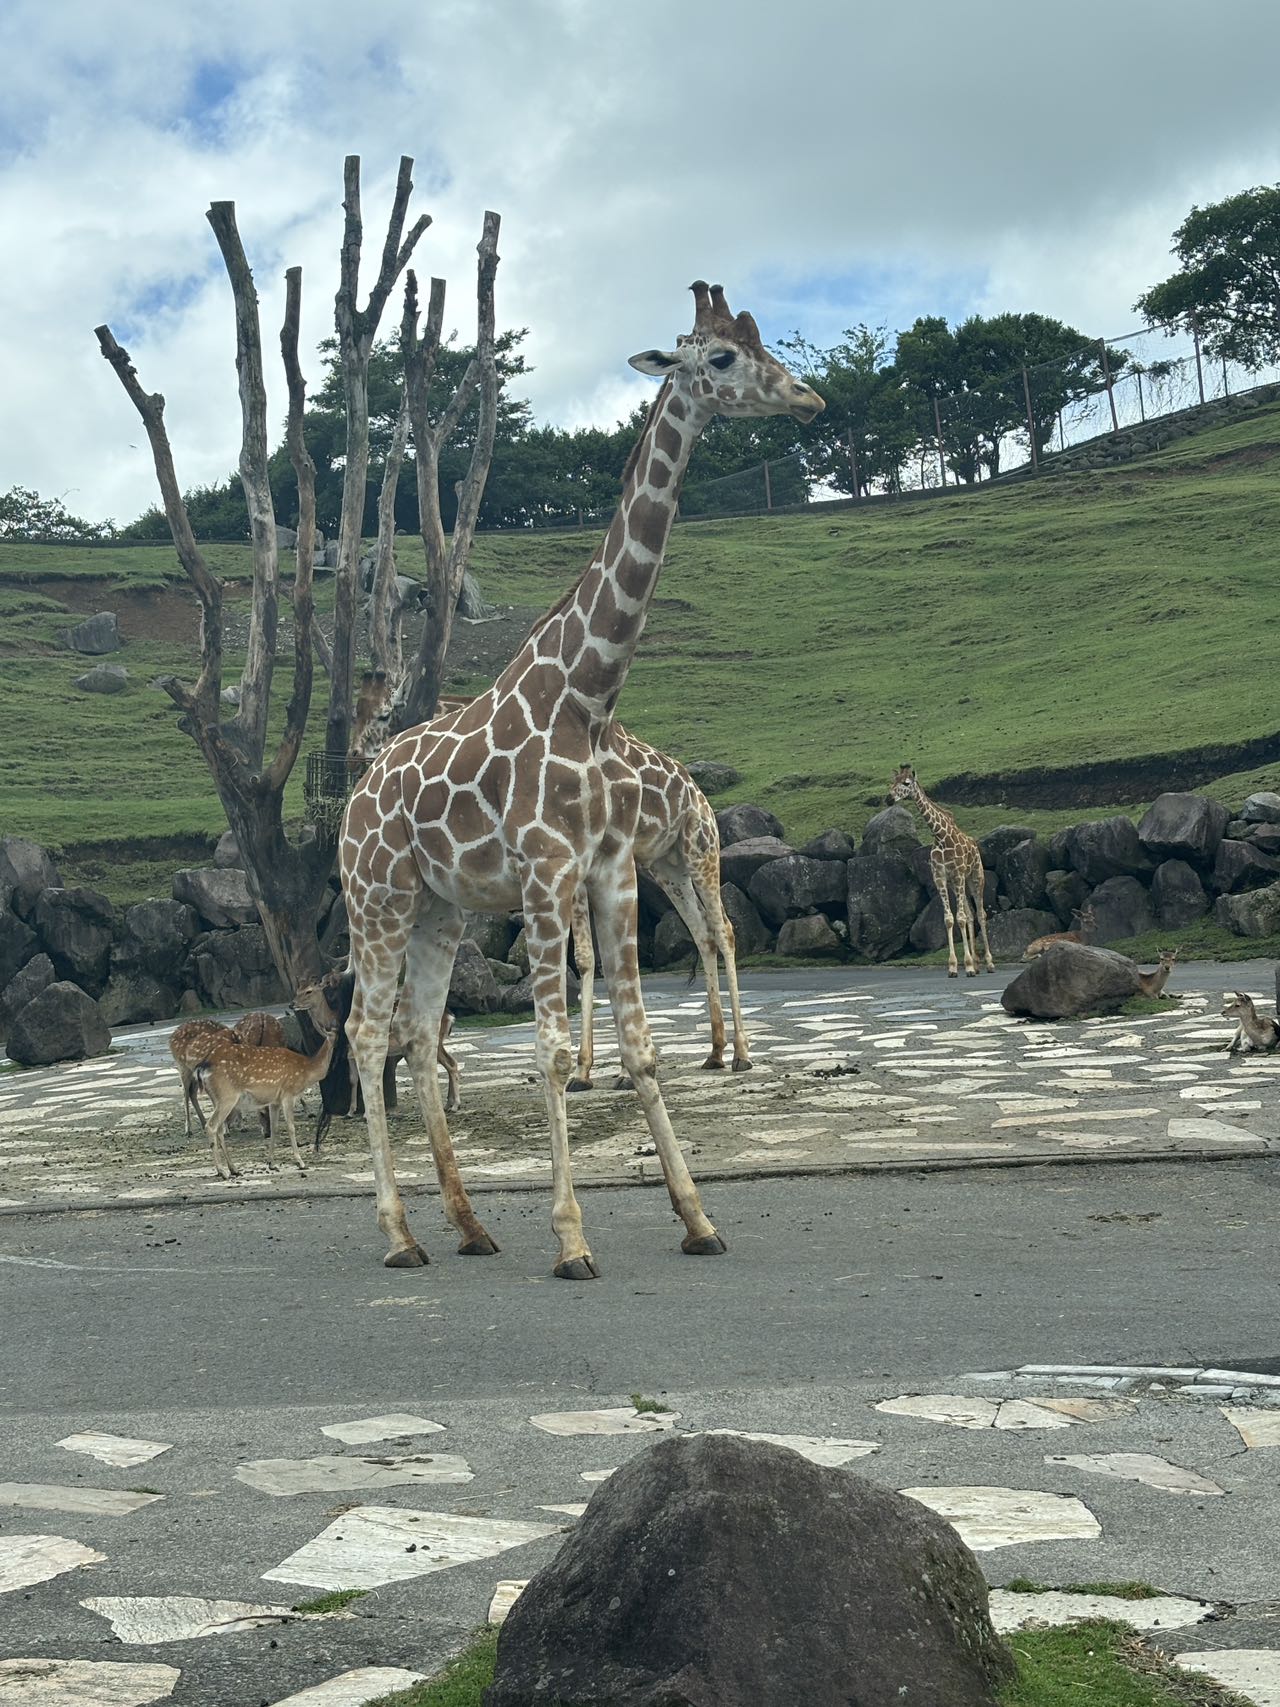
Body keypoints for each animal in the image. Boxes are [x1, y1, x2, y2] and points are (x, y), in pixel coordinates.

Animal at [570, 730, 750, 1078]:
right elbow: (585, 958)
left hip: (701, 849)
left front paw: (625, 1072)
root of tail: (699, 793)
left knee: (724, 930)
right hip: (668, 867)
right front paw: (582, 1070)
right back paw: (715, 1051)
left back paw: (742, 1054)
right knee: (703, 933)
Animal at [887, 768, 996, 983]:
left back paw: (989, 963)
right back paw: (977, 963)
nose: (888, 798)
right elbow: (950, 919)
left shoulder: (959, 874)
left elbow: (960, 918)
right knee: (970, 914)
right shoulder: (941, 878)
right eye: (893, 781)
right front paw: (954, 967)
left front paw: (967, 966)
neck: (941, 837)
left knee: (981, 914)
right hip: (957, 884)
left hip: (975, 877)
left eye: (905, 783)